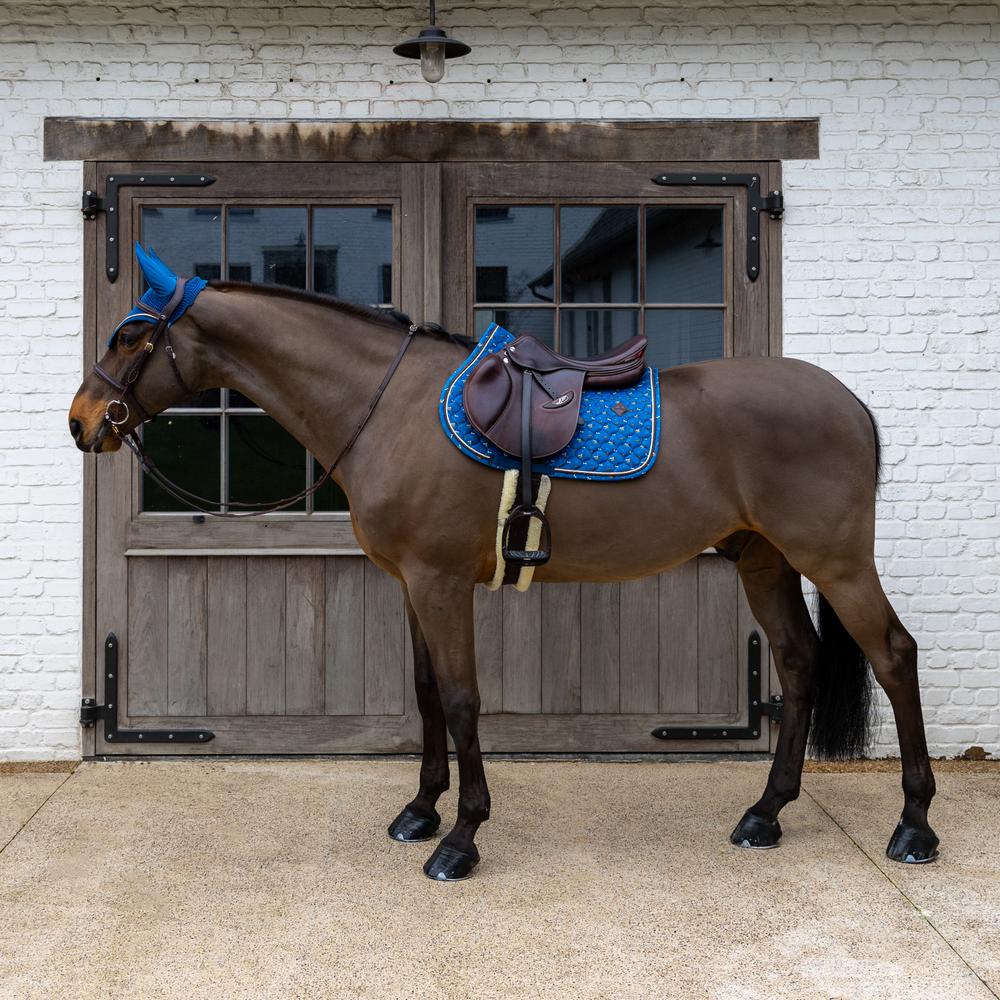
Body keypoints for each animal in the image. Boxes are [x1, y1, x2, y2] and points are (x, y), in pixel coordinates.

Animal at [68, 249, 939, 880]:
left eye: (129, 335)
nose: (82, 422)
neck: (388, 406)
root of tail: (849, 402)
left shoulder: (441, 584)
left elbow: (460, 701)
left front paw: (460, 839)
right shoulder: (410, 585)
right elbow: (426, 696)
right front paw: (420, 811)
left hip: (836, 562)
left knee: (895, 657)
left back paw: (914, 826)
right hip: (765, 562)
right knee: (796, 662)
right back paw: (766, 814)